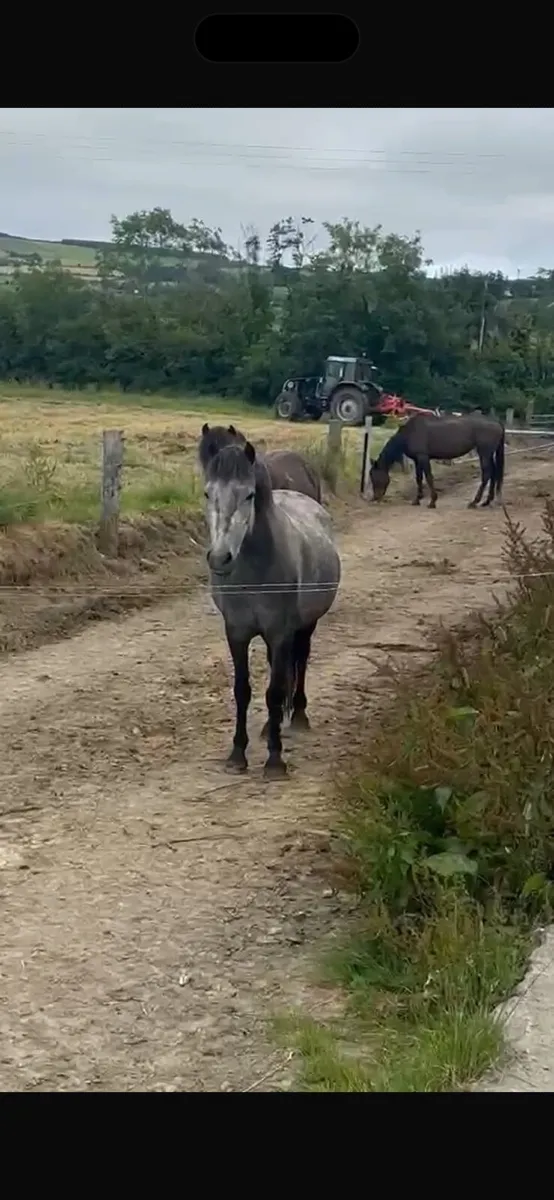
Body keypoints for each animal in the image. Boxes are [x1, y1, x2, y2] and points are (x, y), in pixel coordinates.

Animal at [204, 440, 341, 778]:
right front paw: (237, 754)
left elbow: (276, 692)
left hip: (305, 626)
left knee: (300, 661)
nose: (220, 558)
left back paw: (299, 715)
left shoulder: (280, 633)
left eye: (249, 495)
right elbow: (243, 690)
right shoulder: (236, 633)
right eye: (207, 493)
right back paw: (270, 726)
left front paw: (275, 760)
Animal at [369, 413, 505, 509]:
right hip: (489, 454)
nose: (375, 498)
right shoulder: (417, 460)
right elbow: (419, 478)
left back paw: (474, 502)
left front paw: (432, 502)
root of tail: (496, 422)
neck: (410, 433)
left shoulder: (423, 457)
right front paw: (417, 500)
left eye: (375, 477)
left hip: (484, 453)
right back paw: (487, 501)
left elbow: (429, 477)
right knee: (493, 473)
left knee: (487, 474)